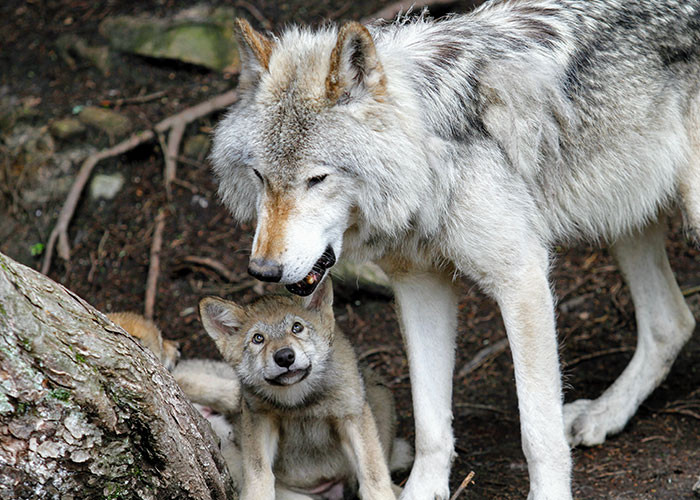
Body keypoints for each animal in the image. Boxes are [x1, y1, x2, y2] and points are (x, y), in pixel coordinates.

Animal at [188, 278, 411, 500]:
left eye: (297, 327)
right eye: (258, 338)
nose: (285, 357)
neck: (299, 401)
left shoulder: (351, 414)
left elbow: (374, 474)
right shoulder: (259, 417)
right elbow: (258, 473)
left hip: (380, 395)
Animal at [210, 1, 700, 498]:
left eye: (317, 178)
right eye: (260, 176)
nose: (263, 270)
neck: (430, 160)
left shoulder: (522, 278)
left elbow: (538, 432)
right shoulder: (419, 284)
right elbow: (430, 422)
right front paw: (423, 488)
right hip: (626, 216)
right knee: (672, 322)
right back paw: (605, 413)